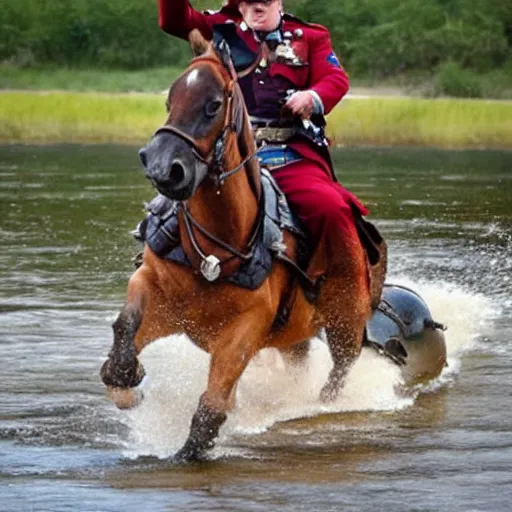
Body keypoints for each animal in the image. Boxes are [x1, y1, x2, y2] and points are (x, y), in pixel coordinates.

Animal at [101, 34, 376, 462]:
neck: (214, 250)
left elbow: (211, 408)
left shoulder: (245, 330)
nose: (161, 167)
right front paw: (127, 375)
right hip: (294, 340)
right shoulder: (156, 289)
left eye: (213, 104)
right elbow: (125, 327)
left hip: (345, 325)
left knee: (336, 378)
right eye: (169, 99)